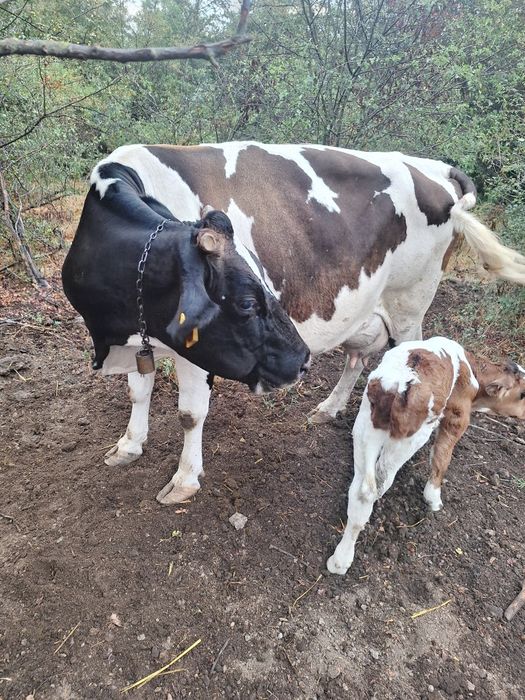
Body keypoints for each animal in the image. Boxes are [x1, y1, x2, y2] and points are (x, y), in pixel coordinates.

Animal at [66, 142, 525, 505]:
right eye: (247, 303)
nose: (301, 360)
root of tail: (438, 168)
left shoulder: (196, 351)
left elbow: (190, 414)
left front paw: (184, 479)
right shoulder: (141, 335)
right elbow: (138, 390)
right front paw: (129, 445)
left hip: (409, 305)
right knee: (356, 359)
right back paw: (328, 408)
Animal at [326, 336, 525, 575]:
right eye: (523, 394)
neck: (473, 371)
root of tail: (398, 384)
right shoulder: (456, 418)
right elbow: (441, 457)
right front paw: (434, 499)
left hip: (365, 427)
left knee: (360, 490)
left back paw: (339, 558)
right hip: (408, 439)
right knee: (377, 486)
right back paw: (344, 561)